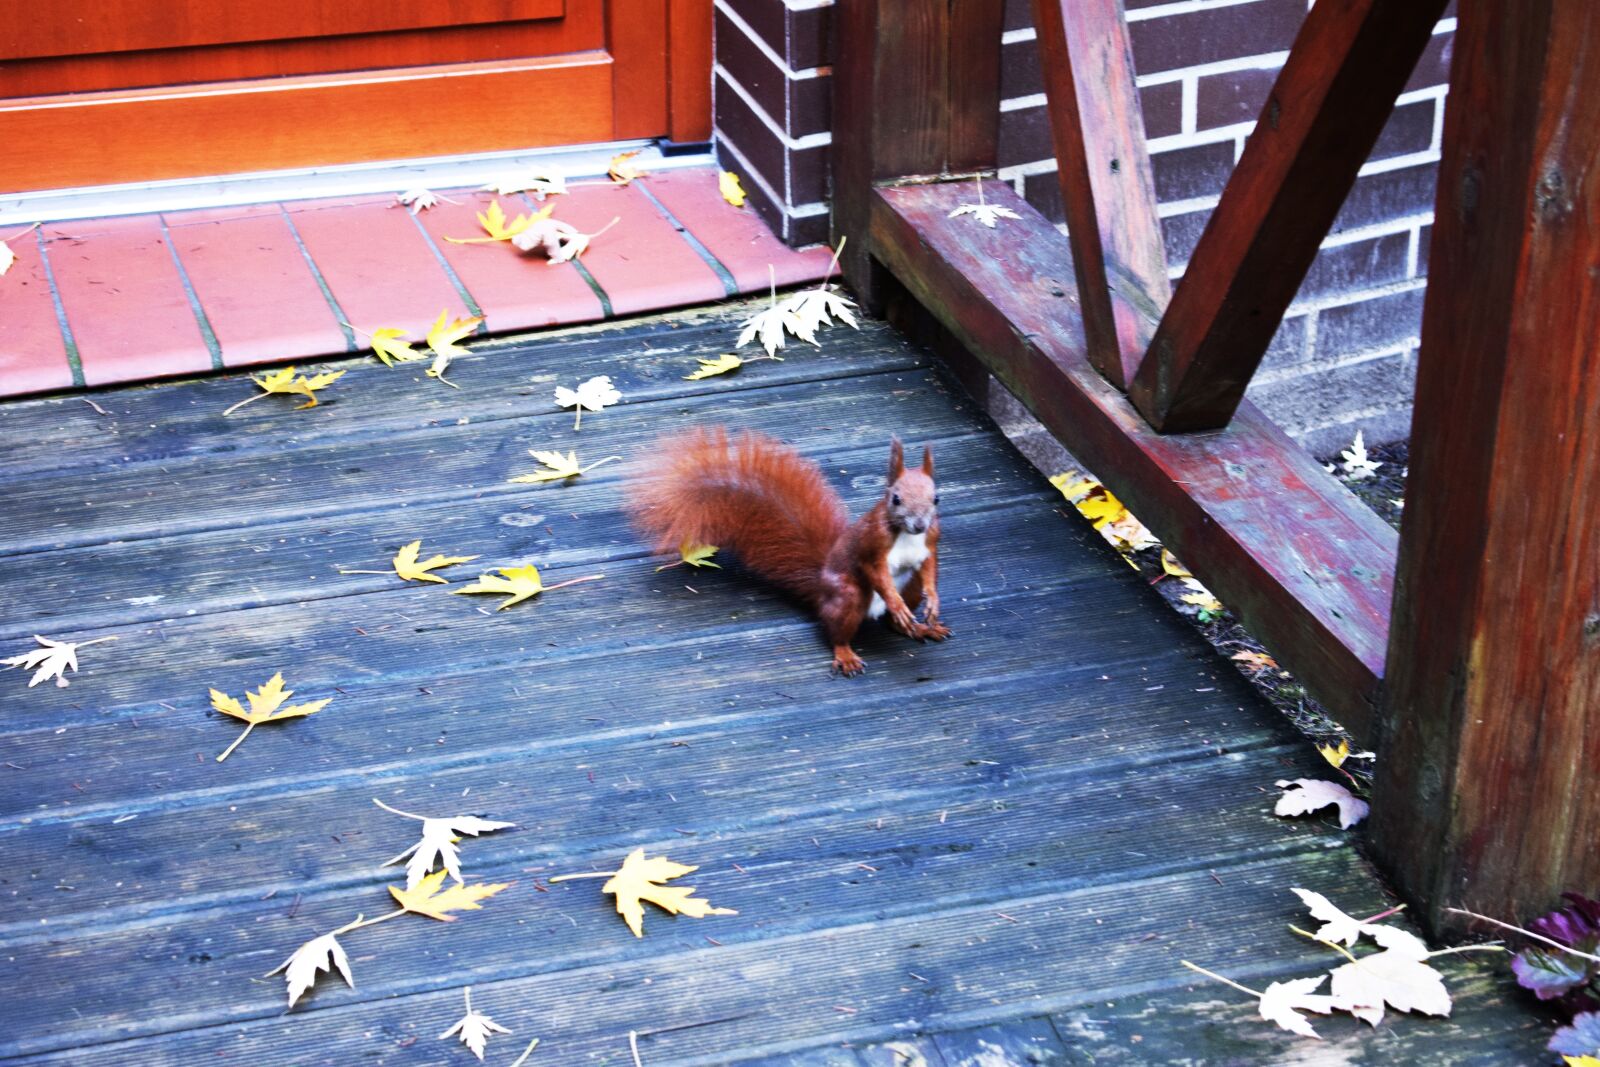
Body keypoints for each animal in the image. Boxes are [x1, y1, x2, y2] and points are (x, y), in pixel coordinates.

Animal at [627, 426, 951, 676]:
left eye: (936, 498)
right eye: (895, 498)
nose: (919, 524)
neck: (906, 535)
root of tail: (820, 589)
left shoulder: (931, 540)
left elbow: (930, 567)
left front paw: (933, 601)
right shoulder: (871, 545)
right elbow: (876, 572)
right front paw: (896, 602)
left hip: (909, 586)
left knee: (897, 615)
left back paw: (918, 627)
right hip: (847, 595)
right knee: (837, 631)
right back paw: (848, 652)